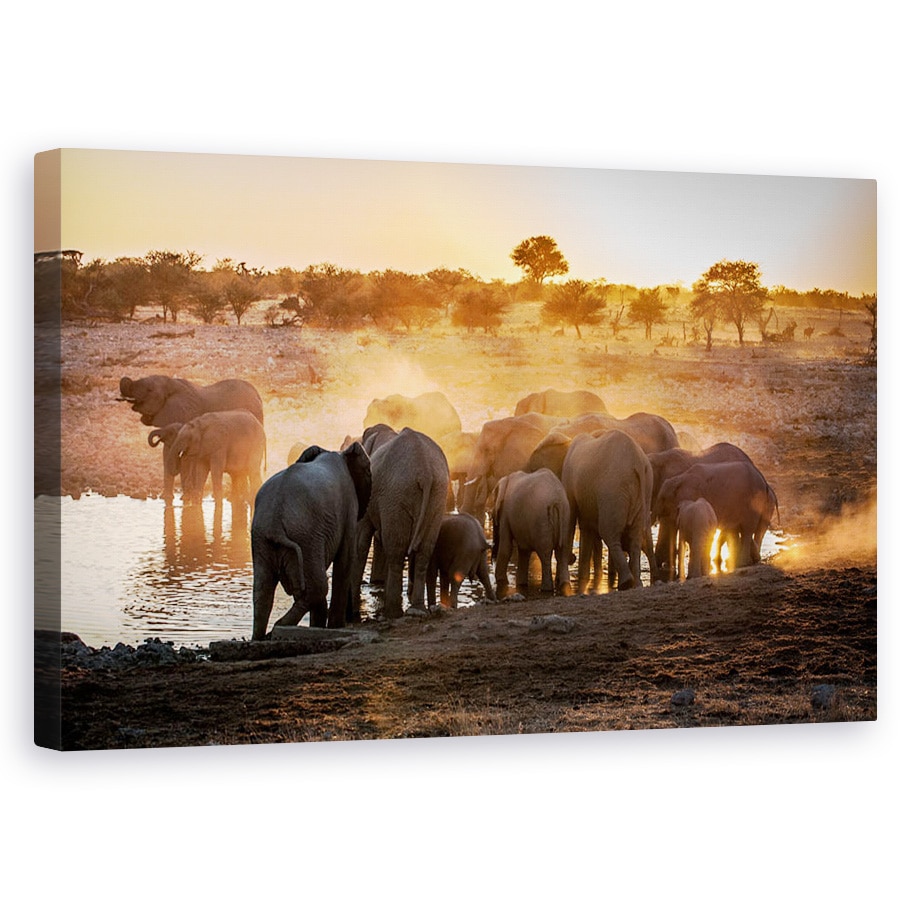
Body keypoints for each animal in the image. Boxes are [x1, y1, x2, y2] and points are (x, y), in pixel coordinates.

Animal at [250, 442, 372, 638]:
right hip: (306, 536)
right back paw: (277, 628)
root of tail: (275, 523)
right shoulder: (349, 507)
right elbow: (345, 560)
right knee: (318, 587)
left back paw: (261, 637)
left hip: (265, 539)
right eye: (368, 471)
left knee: (263, 590)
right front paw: (335, 628)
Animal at [352, 427, 451, 620]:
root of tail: (425, 471)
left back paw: (392, 613)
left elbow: (362, 539)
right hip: (437, 496)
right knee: (424, 551)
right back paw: (418, 609)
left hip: (396, 495)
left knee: (396, 552)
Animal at [492, 468, 571, 597]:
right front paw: (521, 585)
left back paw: (546, 590)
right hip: (565, 517)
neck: (506, 479)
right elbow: (524, 550)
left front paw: (501, 581)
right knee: (562, 552)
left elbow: (506, 548)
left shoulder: (505, 514)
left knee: (545, 554)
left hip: (541, 520)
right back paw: (565, 587)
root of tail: (557, 500)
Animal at [562, 431, 659, 593]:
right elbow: (586, 527)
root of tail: (638, 462)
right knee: (635, 537)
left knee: (608, 532)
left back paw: (626, 583)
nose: (572, 558)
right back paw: (636, 584)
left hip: (613, 489)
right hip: (644, 490)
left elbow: (571, 518)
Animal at [648, 443, 773, 575]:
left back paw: (743, 563)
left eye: (662, 498)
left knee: (747, 530)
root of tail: (763, 480)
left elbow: (669, 525)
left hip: (753, 503)